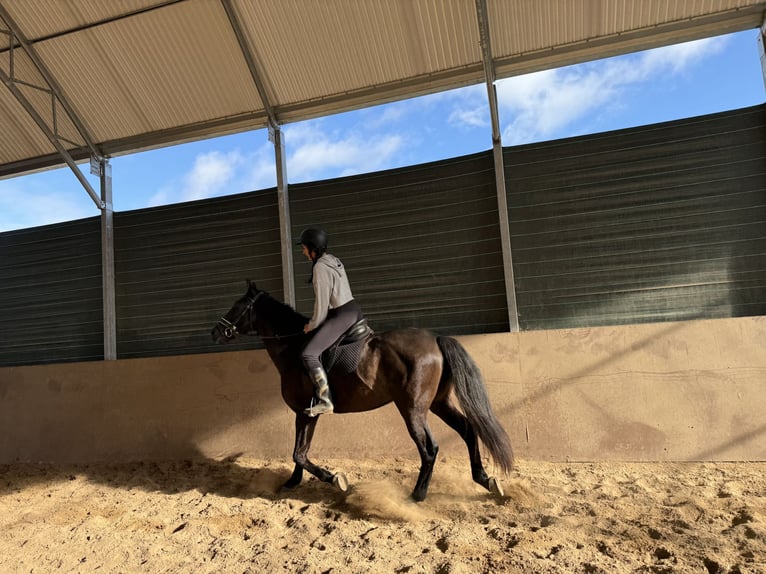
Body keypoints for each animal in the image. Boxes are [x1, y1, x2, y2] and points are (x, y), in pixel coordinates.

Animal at [211, 281, 513, 502]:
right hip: (438, 403)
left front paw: (336, 479)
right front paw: (292, 482)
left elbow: (300, 453)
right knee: (468, 430)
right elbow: (300, 451)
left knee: (430, 449)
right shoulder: (306, 413)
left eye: (237, 306)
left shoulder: (306, 412)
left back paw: (417, 495)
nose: (215, 332)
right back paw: (486, 480)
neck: (293, 348)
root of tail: (436, 340)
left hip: (412, 409)